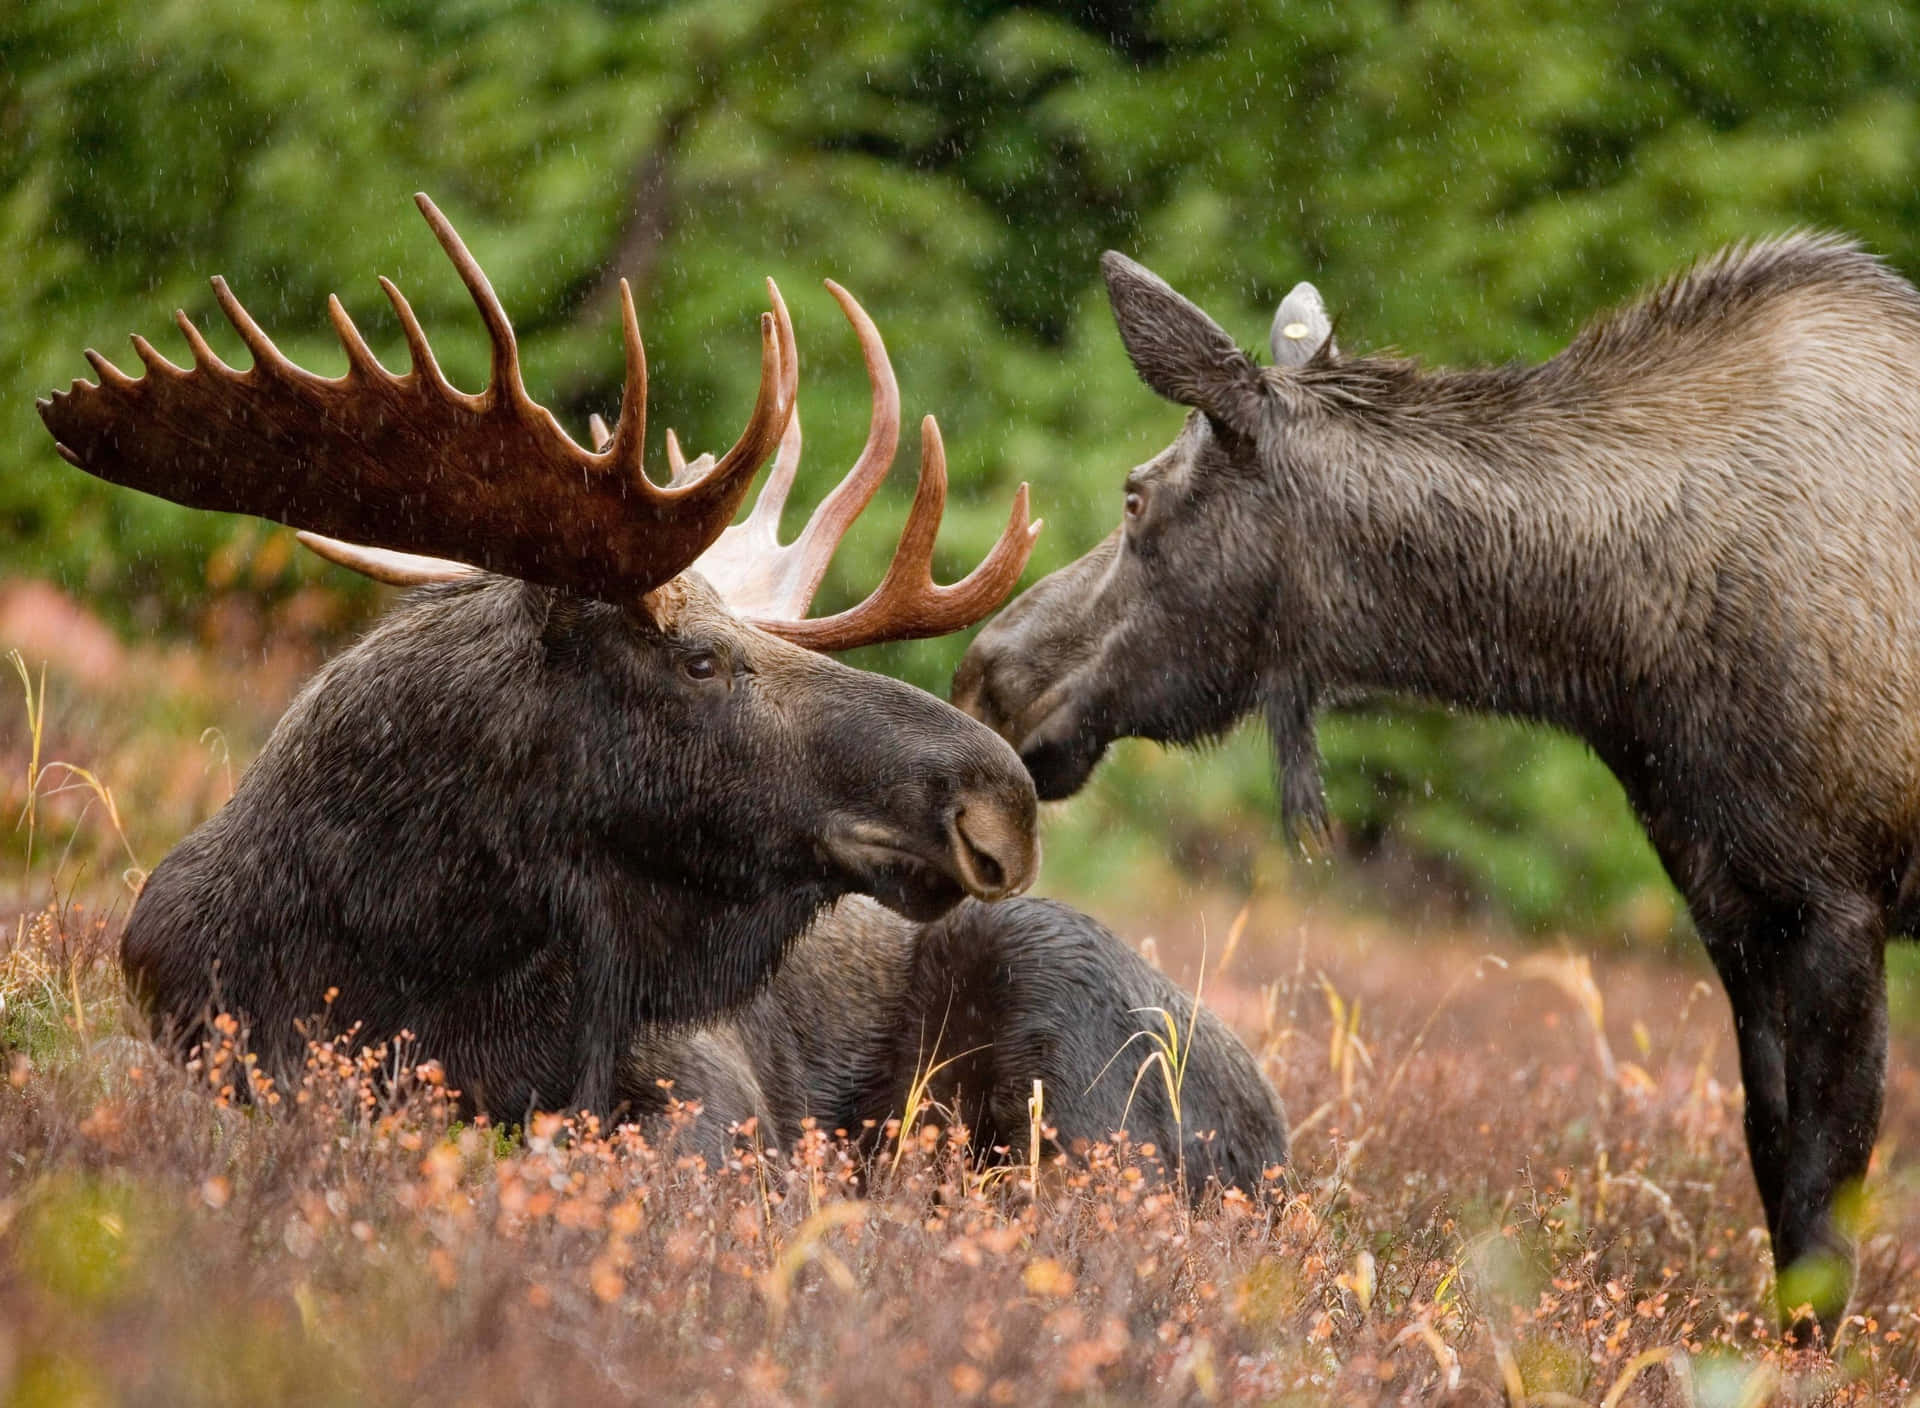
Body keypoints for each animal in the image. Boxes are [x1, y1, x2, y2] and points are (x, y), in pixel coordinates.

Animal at [33, 192, 1290, 1190]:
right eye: (699, 660)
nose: (1000, 800)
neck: (408, 945)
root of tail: (1281, 1139)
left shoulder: (700, 1087)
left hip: (1066, 1022)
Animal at [960, 236, 1920, 1336]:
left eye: (1134, 495)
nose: (988, 673)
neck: (1621, 652)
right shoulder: (1737, 903)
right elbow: (1775, 1172)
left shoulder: (1841, 902)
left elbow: (1824, 1214)